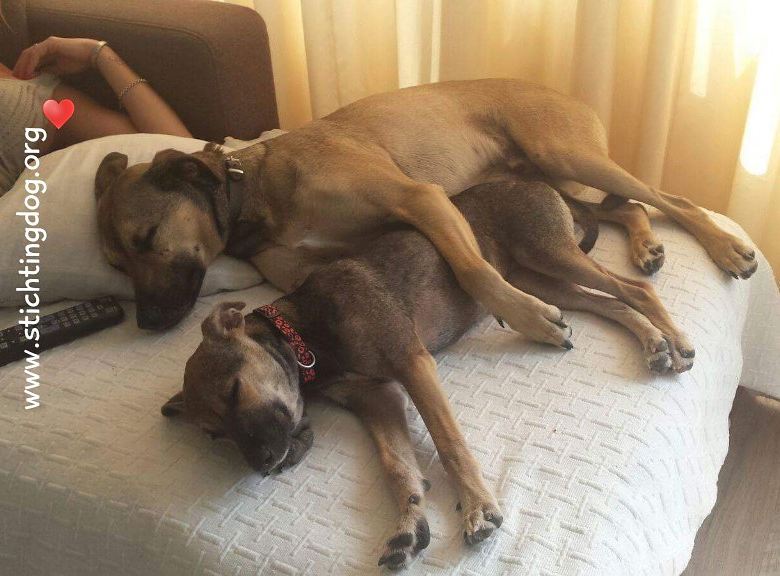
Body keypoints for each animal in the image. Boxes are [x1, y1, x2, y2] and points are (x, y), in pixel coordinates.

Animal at [95, 79, 757, 333]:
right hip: (551, 175)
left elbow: (475, 271)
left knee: (669, 197)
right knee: (626, 207)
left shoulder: (421, 198)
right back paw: (647, 245)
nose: (146, 323)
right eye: (118, 265)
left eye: (147, 238)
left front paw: (527, 315)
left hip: (564, 154)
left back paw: (727, 248)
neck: (255, 191)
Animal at [161, 179, 694, 569]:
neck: (307, 334)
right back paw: (653, 343)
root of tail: (540, 183)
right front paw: (407, 525)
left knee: (634, 290)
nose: (265, 467)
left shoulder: (412, 364)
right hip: (538, 280)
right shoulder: (378, 399)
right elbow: (397, 465)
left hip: (548, 255)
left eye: (234, 391)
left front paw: (477, 508)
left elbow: (448, 442)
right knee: (609, 303)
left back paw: (677, 341)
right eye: (213, 435)